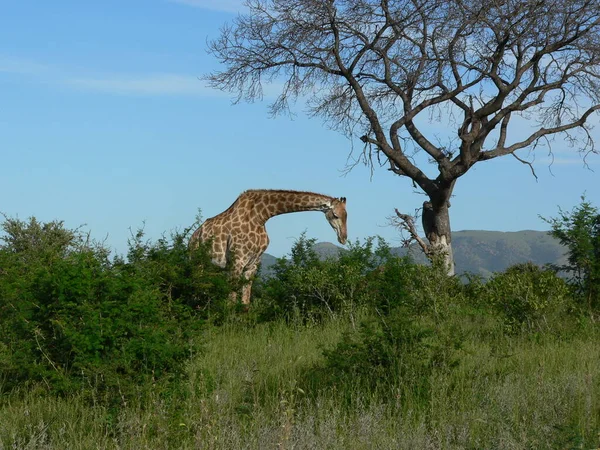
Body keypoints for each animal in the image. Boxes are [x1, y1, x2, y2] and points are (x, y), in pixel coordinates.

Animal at [188, 190, 346, 306]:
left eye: (347, 215)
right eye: (335, 215)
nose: (343, 238)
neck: (261, 216)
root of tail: (192, 237)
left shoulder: (252, 264)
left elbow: (245, 303)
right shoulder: (237, 261)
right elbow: (231, 300)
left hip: (212, 266)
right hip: (197, 262)